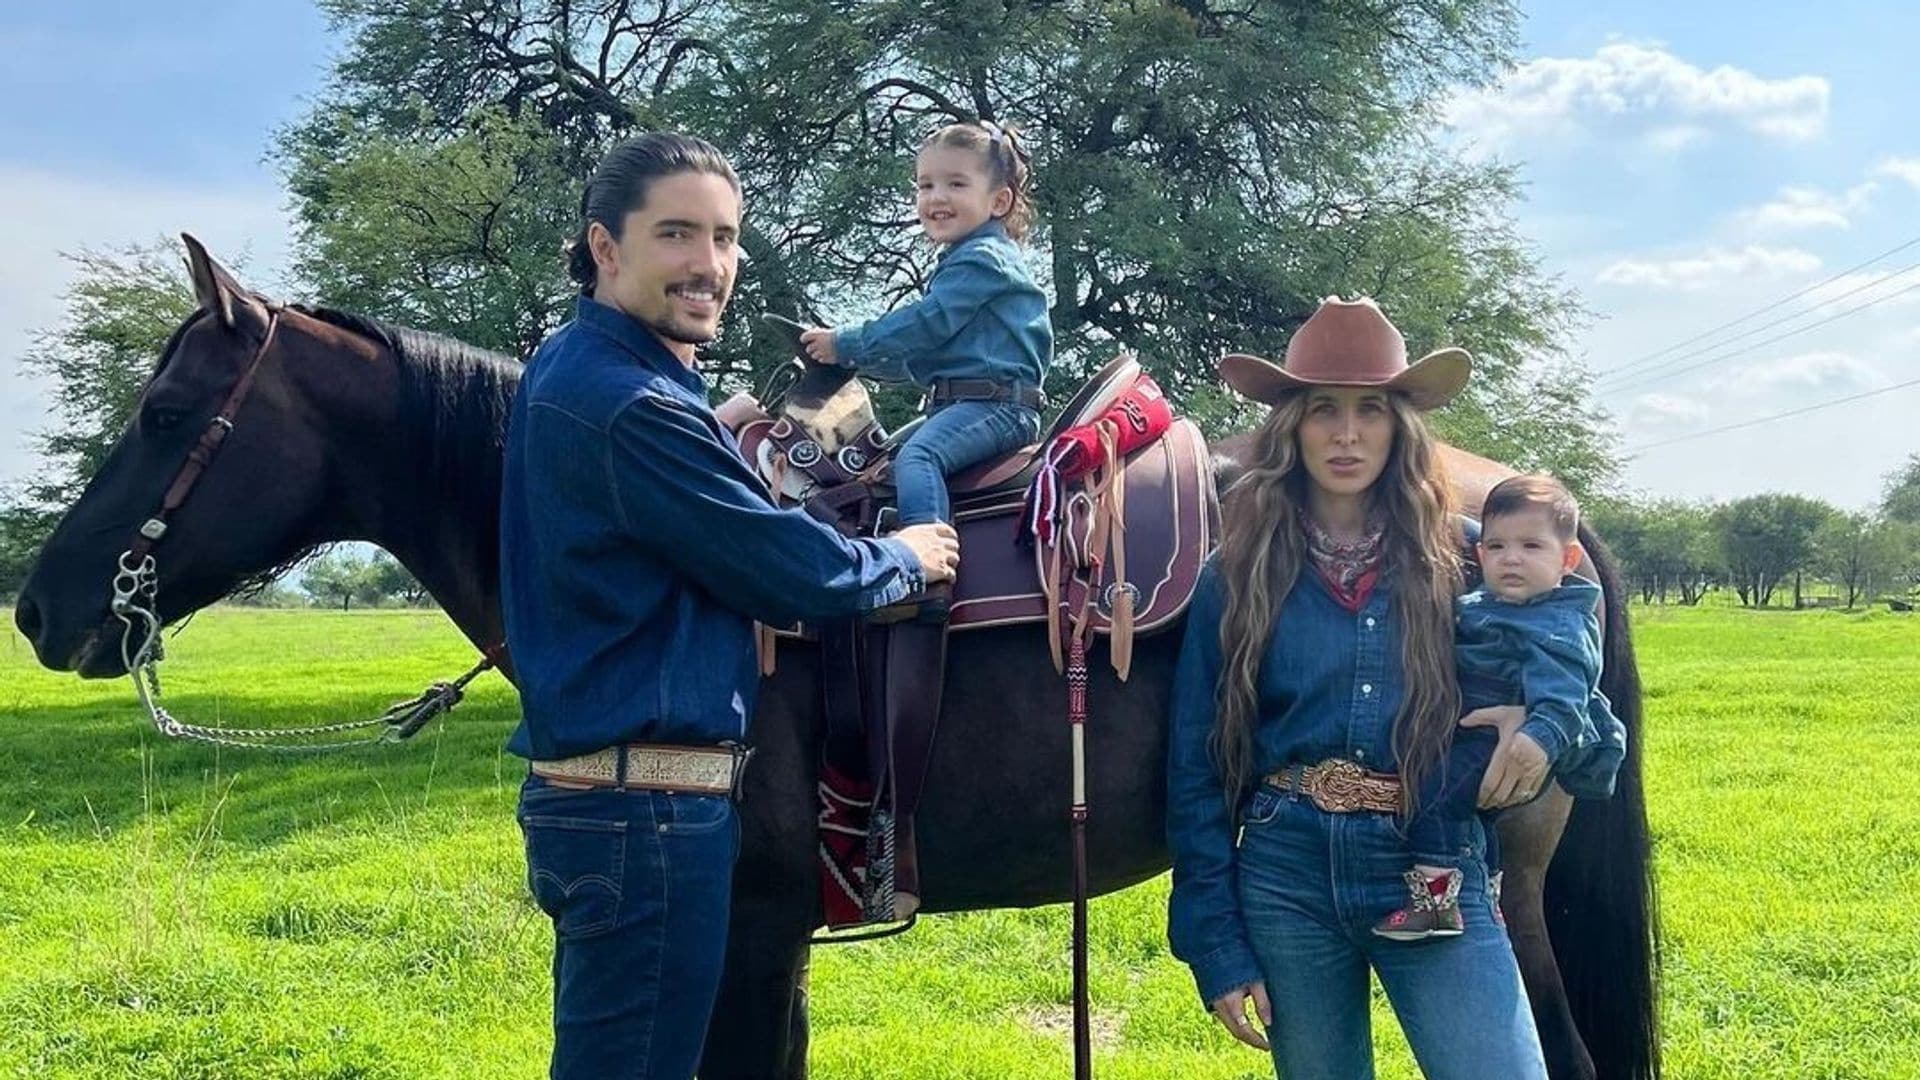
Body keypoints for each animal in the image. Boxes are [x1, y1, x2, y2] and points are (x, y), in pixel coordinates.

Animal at [15, 237, 1658, 1076]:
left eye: (169, 414)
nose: (41, 607)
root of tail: (1529, 504)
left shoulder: (743, 926)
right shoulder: (773, 930)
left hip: (1495, 897)